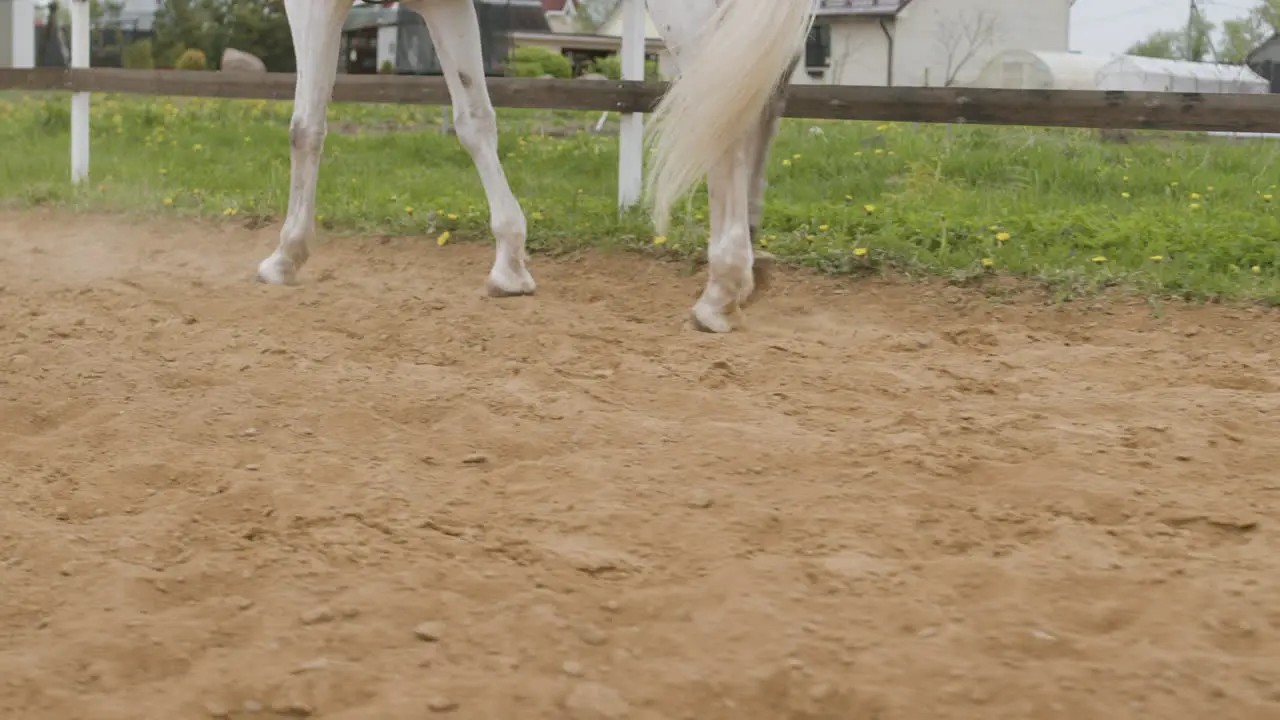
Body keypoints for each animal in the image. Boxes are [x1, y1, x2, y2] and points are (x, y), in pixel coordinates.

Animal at [256, 0, 814, 330]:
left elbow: (305, 128)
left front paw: (285, 257)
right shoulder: (443, 4)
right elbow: (474, 121)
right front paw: (510, 266)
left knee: (722, 105)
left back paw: (720, 290)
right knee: (762, 94)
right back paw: (750, 268)